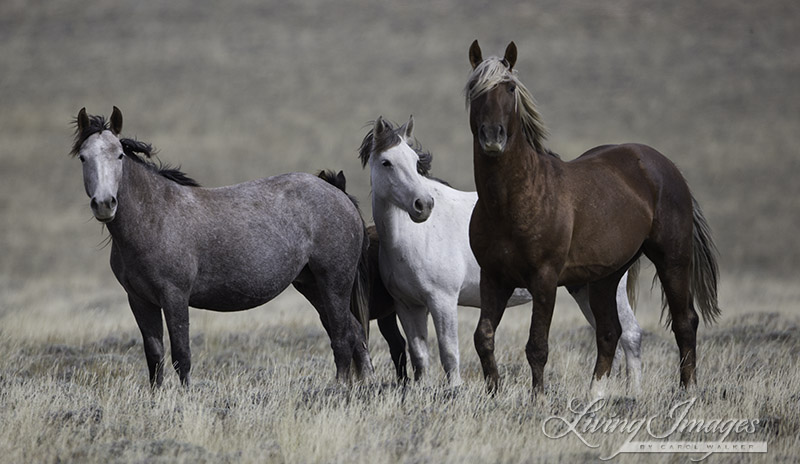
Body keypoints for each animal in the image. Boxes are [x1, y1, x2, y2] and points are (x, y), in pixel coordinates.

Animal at [71, 107, 372, 386]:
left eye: (119, 155)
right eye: (83, 157)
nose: (104, 204)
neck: (155, 218)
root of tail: (338, 194)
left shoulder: (174, 296)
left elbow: (182, 355)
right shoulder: (139, 300)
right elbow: (155, 357)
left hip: (334, 284)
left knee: (342, 338)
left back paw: (340, 388)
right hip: (312, 286)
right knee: (355, 333)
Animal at [358, 114, 644, 390]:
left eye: (416, 162)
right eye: (386, 162)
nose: (423, 205)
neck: (415, 236)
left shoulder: (442, 301)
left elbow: (449, 353)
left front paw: (455, 391)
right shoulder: (408, 306)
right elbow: (419, 357)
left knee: (630, 336)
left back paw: (631, 393)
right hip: (584, 289)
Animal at [462, 40, 720, 396]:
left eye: (510, 88)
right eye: (475, 88)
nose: (492, 137)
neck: (513, 201)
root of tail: (665, 166)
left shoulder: (544, 279)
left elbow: (536, 346)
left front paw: (538, 399)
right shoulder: (494, 278)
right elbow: (484, 338)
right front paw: (493, 394)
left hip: (673, 260)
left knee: (685, 322)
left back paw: (687, 391)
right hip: (604, 277)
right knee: (609, 332)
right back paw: (594, 395)